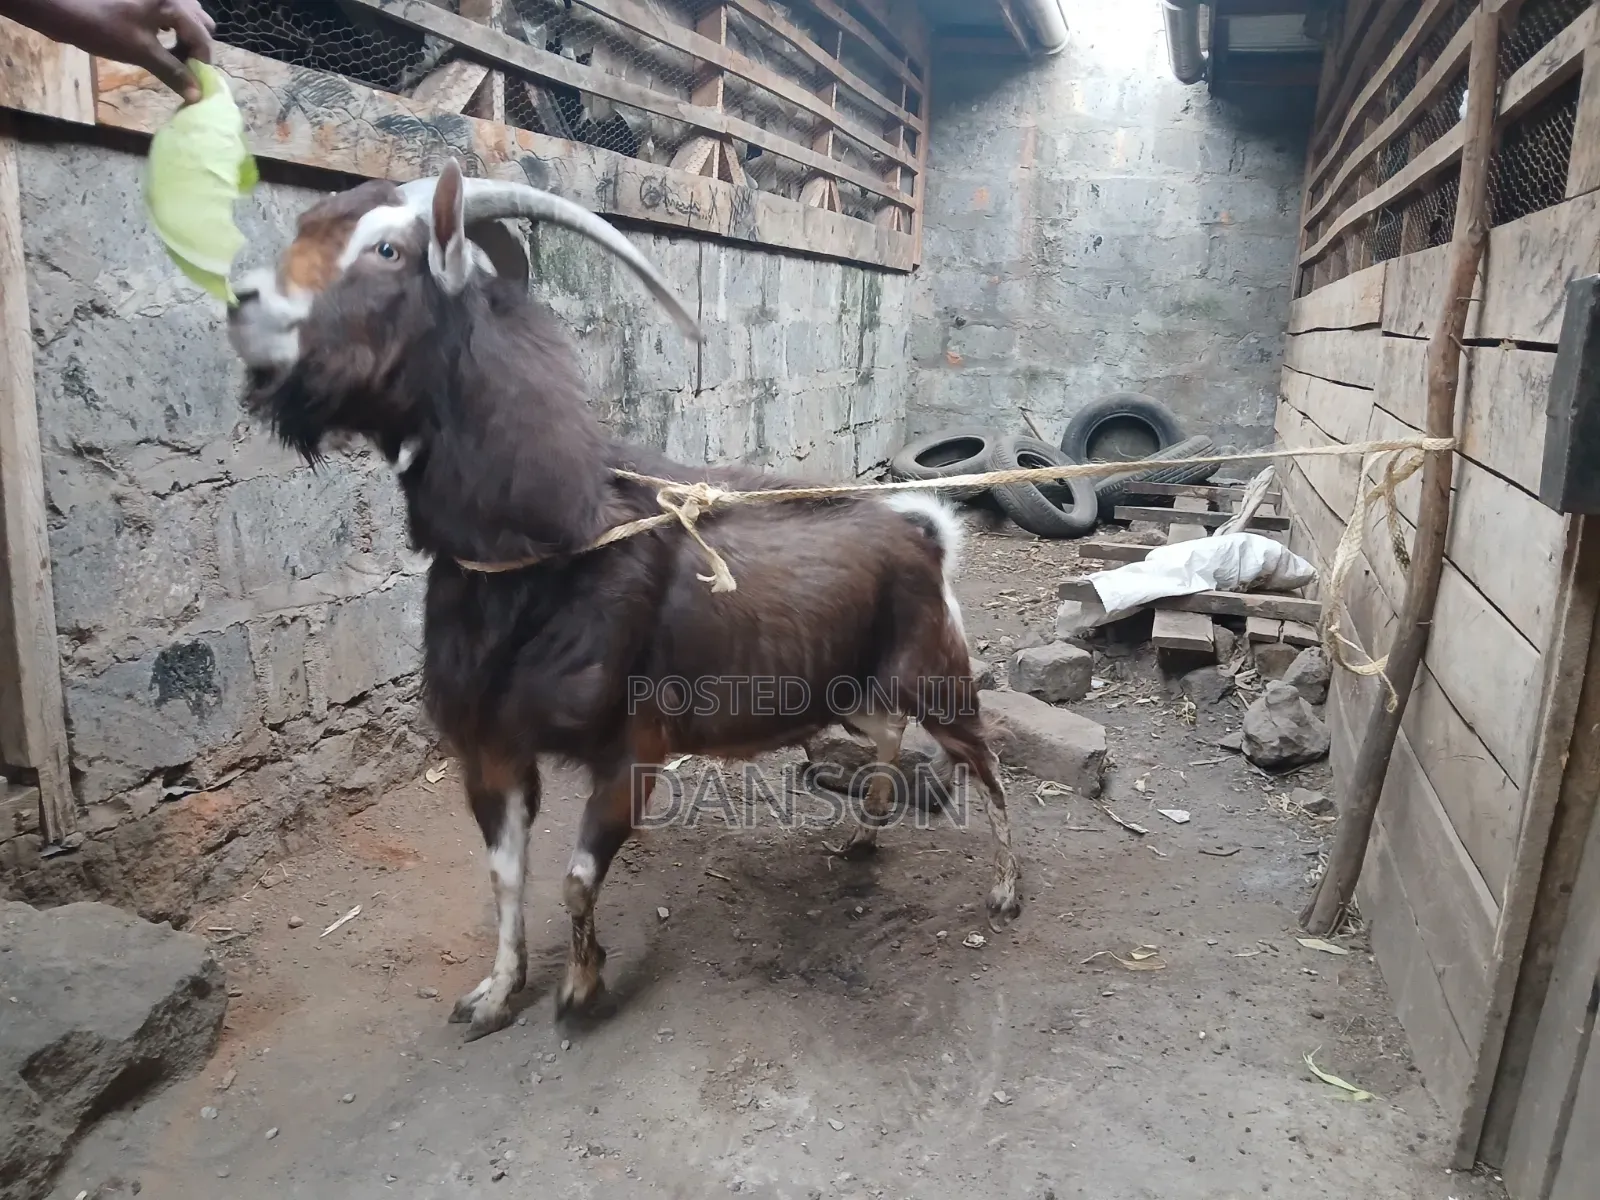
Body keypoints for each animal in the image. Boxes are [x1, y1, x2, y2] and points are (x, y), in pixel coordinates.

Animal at [225, 160, 1021, 1039]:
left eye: (388, 249)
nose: (242, 304)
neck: (552, 550)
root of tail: (923, 530)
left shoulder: (633, 747)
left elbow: (575, 879)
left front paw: (581, 990)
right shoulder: (489, 748)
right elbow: (505, 879)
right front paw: (495, 995)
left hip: (937, 671)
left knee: (985, 763)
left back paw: (1005, 892)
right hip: (849, 684)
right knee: (885, 732)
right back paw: (862, 844)